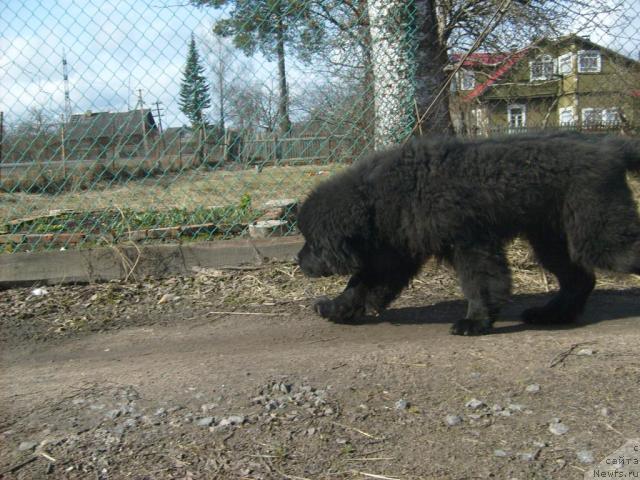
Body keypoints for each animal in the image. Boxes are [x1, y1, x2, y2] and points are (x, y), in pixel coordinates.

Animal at [298, 131, 640, 334]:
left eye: (312, 243)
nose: (297, 261)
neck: (376, 198)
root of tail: (611, 147)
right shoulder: (393, 255)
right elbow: (359, 286)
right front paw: (335, 309)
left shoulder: (471, 244)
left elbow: (481, 285)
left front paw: (475, 322)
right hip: (551, 240)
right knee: (579, 279)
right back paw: (551, 315)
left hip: (600, 233)